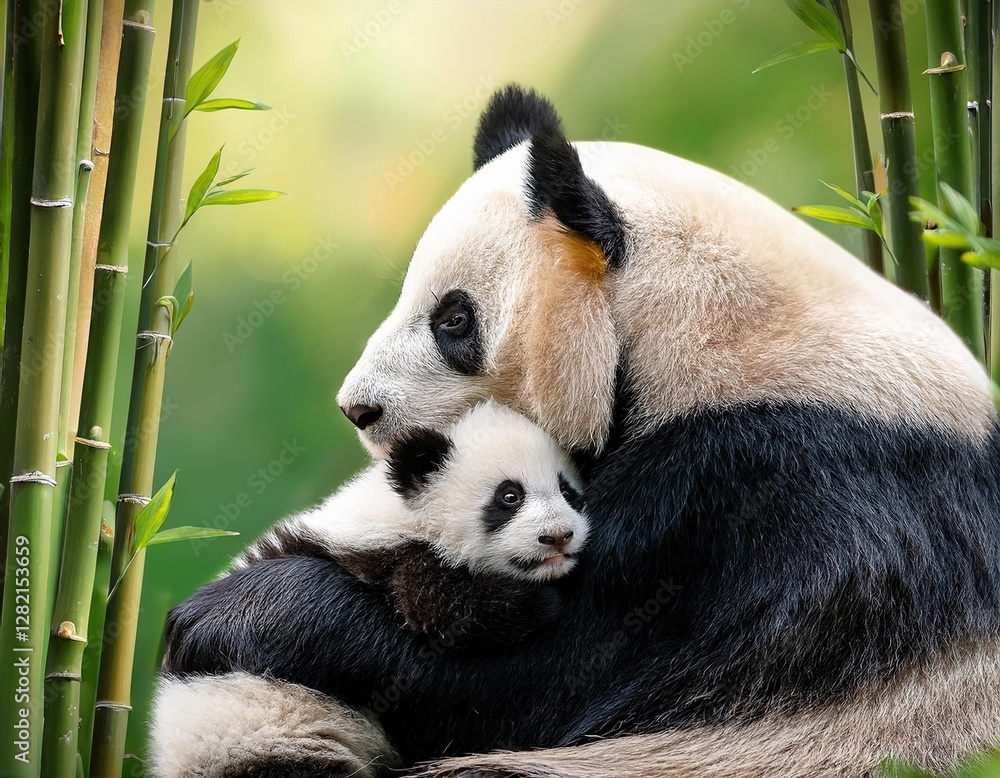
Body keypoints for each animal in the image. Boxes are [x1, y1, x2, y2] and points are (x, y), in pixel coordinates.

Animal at [228, 400, 589, 642]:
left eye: (567, 491)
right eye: (510, 497)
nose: (558, 536)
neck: (408, 513)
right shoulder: (384, 550)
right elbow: (440, 607)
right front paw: (540, 602)